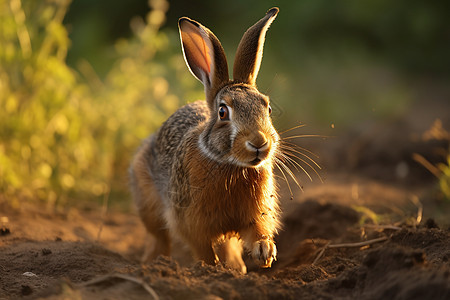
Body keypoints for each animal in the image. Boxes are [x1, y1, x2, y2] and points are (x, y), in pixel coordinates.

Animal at [128, 7, 280, 274]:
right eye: (222, 112)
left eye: (267, 108)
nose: (260, 143)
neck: (230, 165)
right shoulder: (191, 222)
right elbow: (202, 248)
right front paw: (210, 270)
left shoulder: (256, 214)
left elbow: (256, 232)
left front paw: (266, 252)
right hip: (147, 198)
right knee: (159, 236)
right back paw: (153, 263)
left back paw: (237, 268)